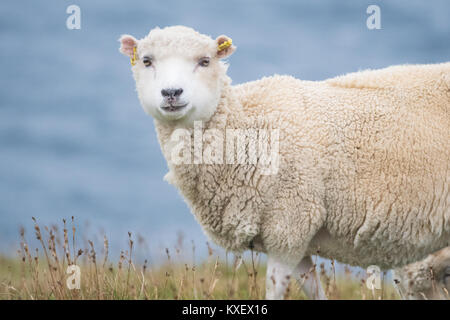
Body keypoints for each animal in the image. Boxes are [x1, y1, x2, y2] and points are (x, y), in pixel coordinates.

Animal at [119, 25, 450, 300]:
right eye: (146, 61)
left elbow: (275, 290)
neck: (247, 126)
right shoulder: (294, 239)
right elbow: (314, 292)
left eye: (205, 61)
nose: (171, 93)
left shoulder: (289, 223)